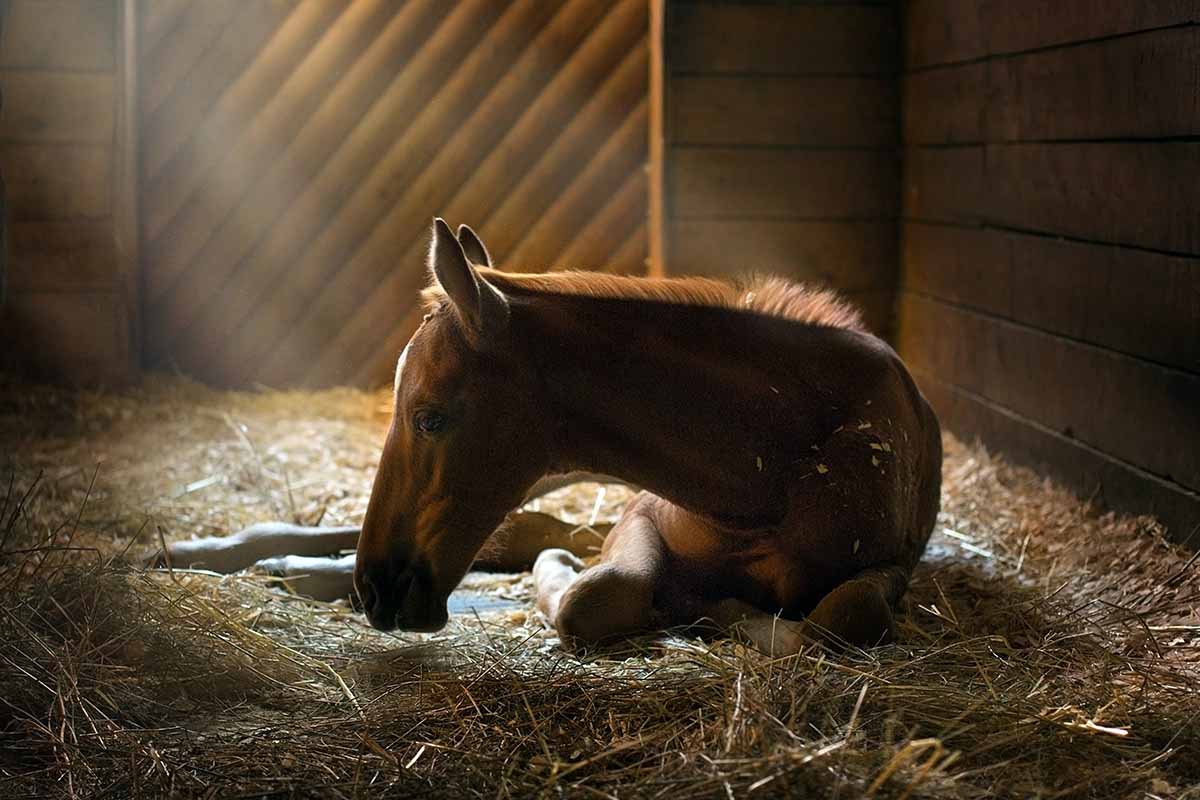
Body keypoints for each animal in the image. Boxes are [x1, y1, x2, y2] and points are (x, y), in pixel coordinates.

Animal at [156, 218, 942, 653]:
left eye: (430, 415)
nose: (380, 590)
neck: (776, 464)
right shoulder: (640, 511)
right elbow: (602, 589)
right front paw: (564, 574)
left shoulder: (889, 564)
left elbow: (847, 615)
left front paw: (727, 614)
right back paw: (236, 557)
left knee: (522, 528)